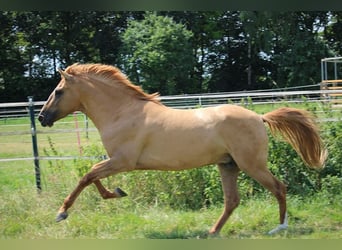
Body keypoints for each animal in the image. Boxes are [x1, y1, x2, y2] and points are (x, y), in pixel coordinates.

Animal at [37, 63, 326, 235]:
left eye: (59, 91)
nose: (42, 117)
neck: (122, 113)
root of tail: (259, 117)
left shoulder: (122, 161)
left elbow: (87, 176)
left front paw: (61, 213)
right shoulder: (115, 161)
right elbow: (92, 177)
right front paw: (118, 192)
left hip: (251, 165)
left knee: (279, 187)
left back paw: (279, 227)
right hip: (228, 165)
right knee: (232, 200)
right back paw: (212, 232)